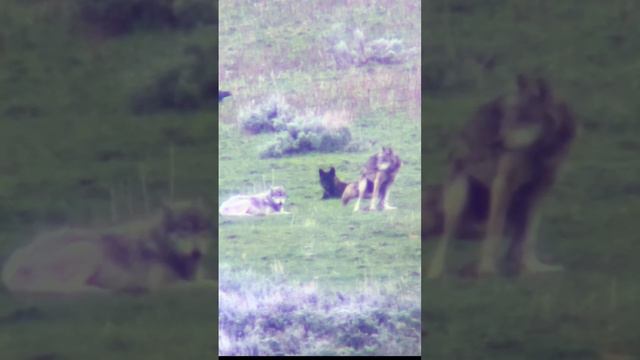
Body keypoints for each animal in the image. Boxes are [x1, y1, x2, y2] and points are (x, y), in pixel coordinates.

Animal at [1, 201, 214, 294]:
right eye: (184, 231)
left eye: (202, 232)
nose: (197, 253)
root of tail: (10, 269)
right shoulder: (162, 286)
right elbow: (207, 285)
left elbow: (207, 280)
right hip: (88, 249)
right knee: (68, 289)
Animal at [428, 74, 576, 278]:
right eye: (509, 119)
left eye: (524, 118)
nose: (497, 142)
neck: (543, 149)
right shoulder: (503, 185)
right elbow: (494, 234)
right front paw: (487, 270)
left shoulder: (541, 190)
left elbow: (530, 237)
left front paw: (535, 268)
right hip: (459, 200)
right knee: (446, 238)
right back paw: (436, 271)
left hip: (519, 202)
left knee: (515, 244)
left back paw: (517, 266)